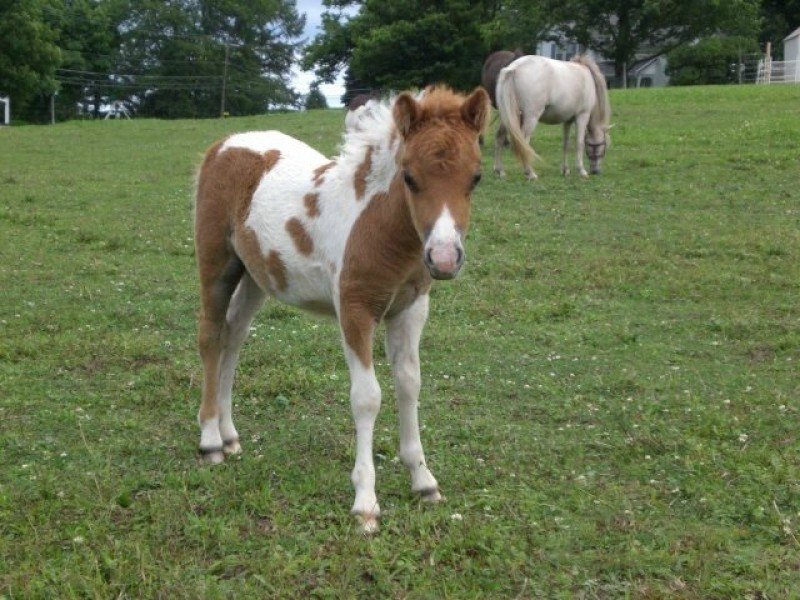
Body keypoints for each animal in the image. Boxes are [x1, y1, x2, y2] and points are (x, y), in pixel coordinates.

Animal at [193, 86, 490, 534]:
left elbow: (409, 384)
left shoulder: (411, 310)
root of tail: (224, 143)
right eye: (409, 177)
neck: (378, 227)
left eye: (476, 177)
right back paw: (210, 440)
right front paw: (366, 503)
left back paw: (229, 435)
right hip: (216, 263)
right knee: (211, 336)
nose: (443, 259)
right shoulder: (355, 309)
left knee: (234, 337)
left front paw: (423, 481)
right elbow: (367, 397)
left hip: (256, 276)